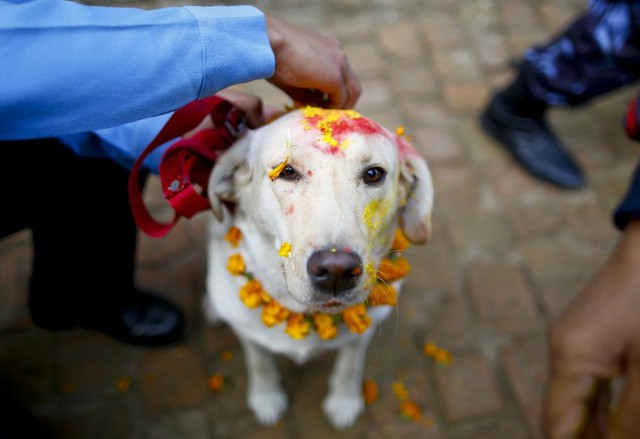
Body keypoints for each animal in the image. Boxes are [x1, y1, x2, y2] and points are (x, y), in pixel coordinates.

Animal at [204, 106, 436, 430]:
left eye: (373, 174)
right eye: (287, 171)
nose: (336, 271)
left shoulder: (363, 331)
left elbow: (350, 364)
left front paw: (344, 400)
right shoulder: (248, 333)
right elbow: (259, 362)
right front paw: (266, 397)